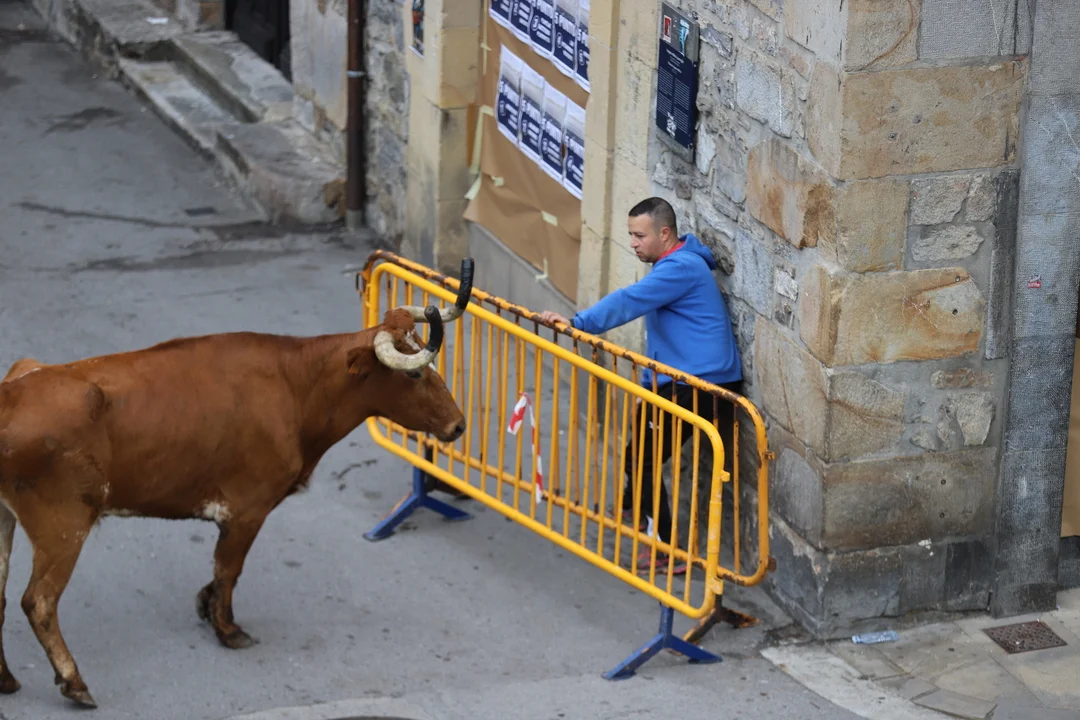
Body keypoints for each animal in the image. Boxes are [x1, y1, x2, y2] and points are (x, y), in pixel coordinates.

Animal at [0, 258, 474, 708]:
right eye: (414, 374)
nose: (458, 425)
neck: (296, 386)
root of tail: (13, 392)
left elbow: (219, 566)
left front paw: (205, 604)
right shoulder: (248, 507)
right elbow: (230, 568)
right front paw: (227, 628)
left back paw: (7, 679)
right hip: (64, 526)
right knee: (38, 602)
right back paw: (74, 683)